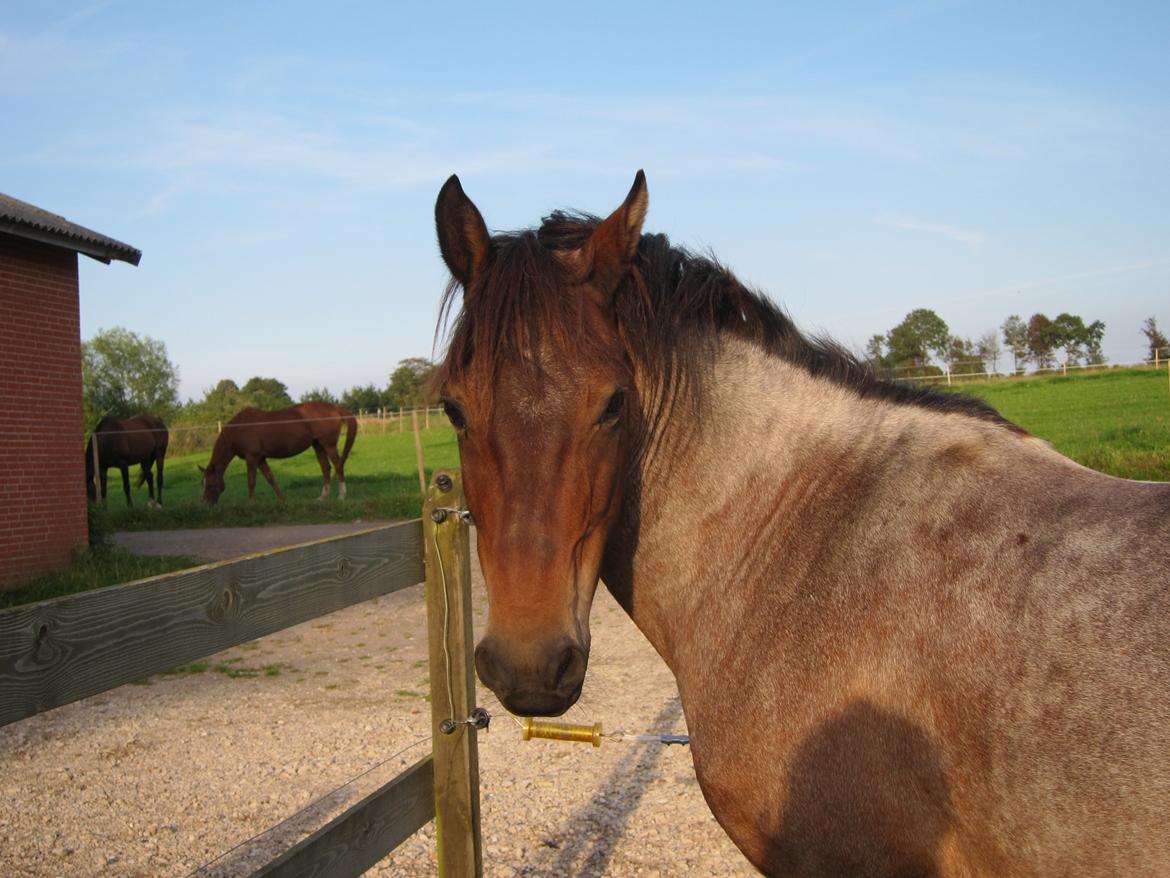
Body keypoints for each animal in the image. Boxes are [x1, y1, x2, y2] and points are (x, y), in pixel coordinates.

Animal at [198, 402, 353, 505]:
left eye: (210, 484)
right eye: (202, 484)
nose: (205, 503)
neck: (240, 428)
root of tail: (334, 408)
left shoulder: (252, 458)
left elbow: (251, 481)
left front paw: (251, 503)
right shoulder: (260, 459)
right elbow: (270, 478)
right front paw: (282, 500)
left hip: (329, 445)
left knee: (338, 465)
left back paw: (342, 496)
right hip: (318, 446)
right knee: (326, 468)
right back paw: (323, 497)